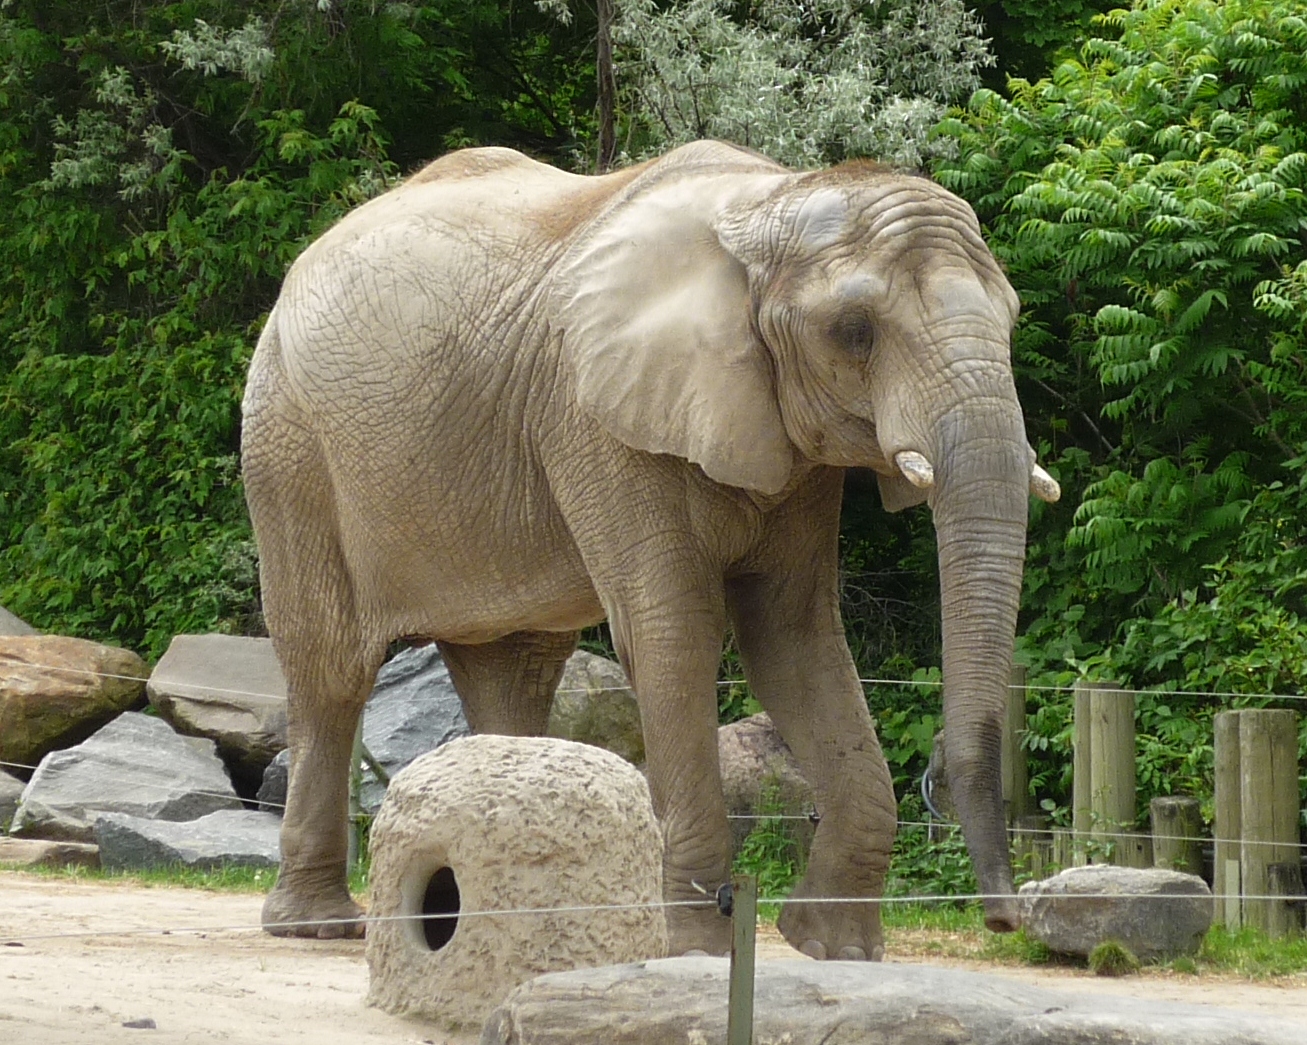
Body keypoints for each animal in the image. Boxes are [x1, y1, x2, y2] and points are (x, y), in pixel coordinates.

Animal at [240, 139, 1060, 959]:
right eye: (854, 329)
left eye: (1013, 319)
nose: (1003, 916)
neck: (771, 201)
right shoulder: (597, 418)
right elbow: (675, 633)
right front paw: (693, 948)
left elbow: (794, 639)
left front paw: (835, 951)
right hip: (288, 444)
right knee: (331, 671)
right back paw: (319, 925)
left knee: (514, 668)